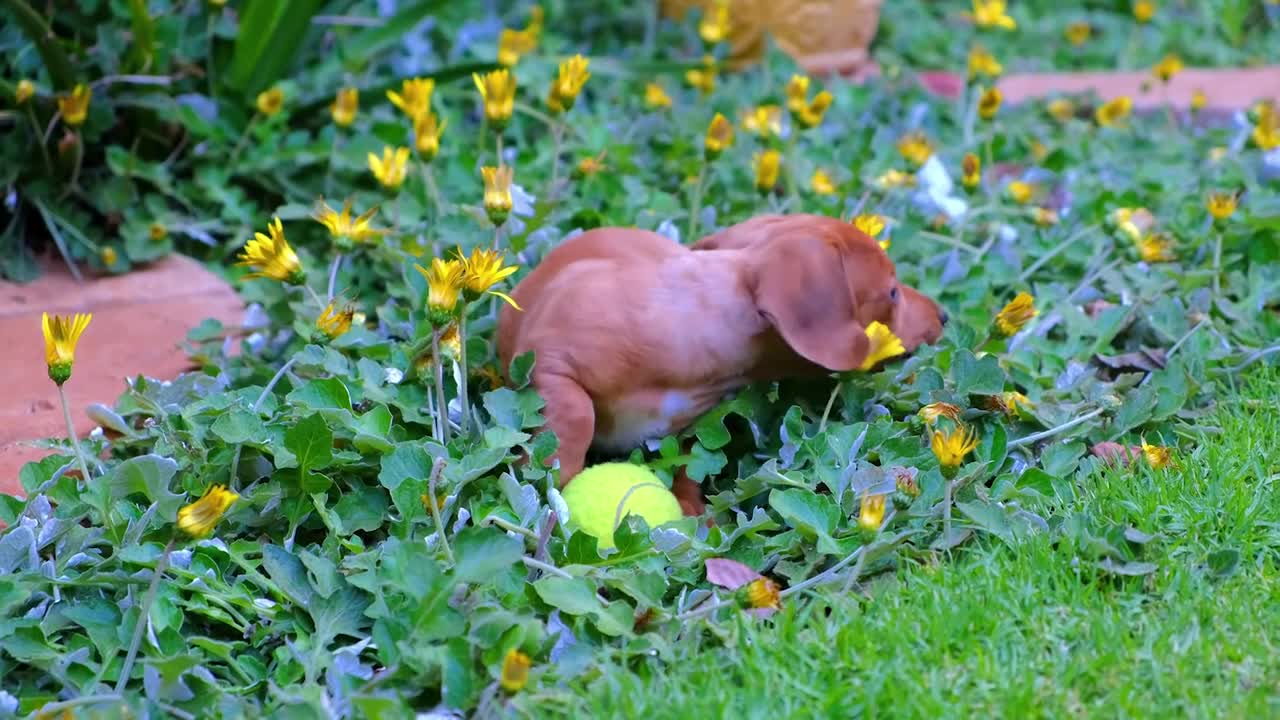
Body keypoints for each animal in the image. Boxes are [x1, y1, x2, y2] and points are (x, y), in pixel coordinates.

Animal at [494, 212, 947, 499]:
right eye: (892, 293)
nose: (943, 315)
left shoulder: (694, 425)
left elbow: (689, 462)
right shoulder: (548, 362)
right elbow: (576, 415)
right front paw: (556, 479)